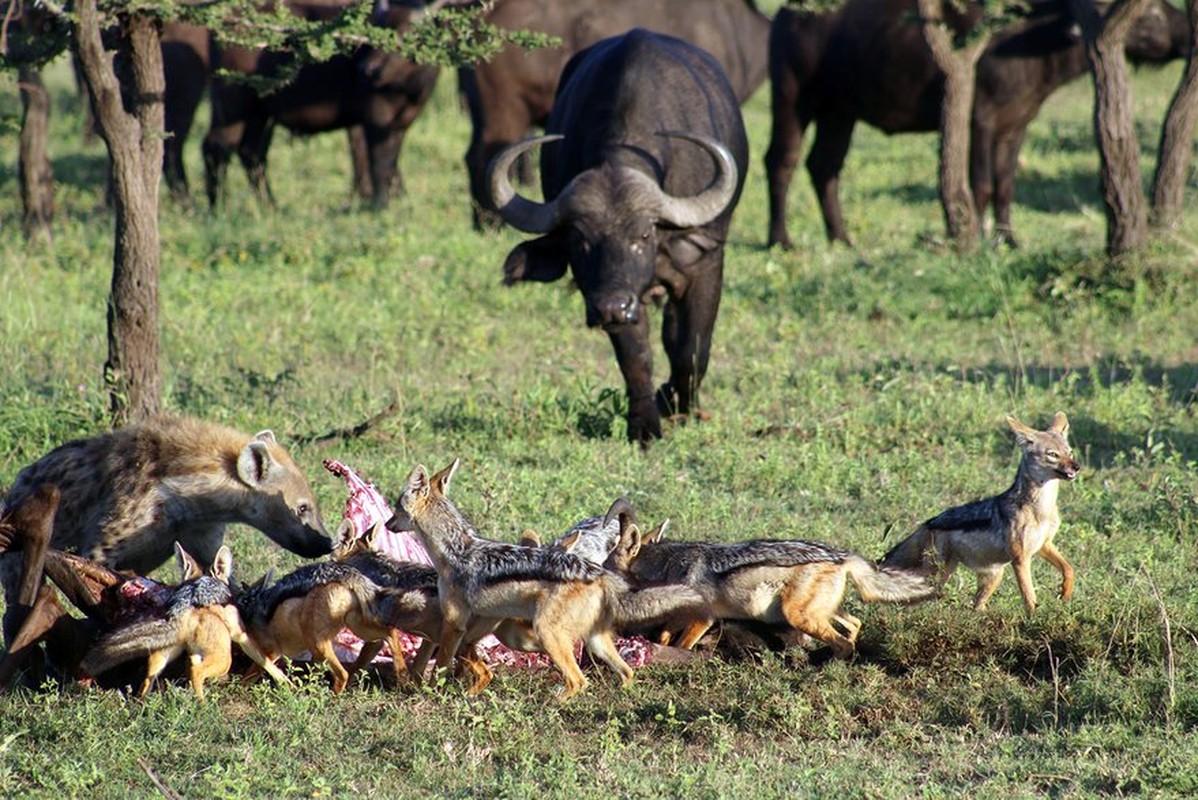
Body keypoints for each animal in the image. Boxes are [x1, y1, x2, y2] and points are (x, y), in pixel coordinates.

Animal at [486, 29, 747, 443]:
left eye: (644, 234)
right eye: (580, 240)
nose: (612, 307)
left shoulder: (703, 265)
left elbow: (692, 348)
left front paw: (677, 405)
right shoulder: (612, 295)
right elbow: (636, 356)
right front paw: (645, 424)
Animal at [766, 0, 1188, 247]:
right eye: (1152, 12)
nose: (1186, 34)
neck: (1031, 34)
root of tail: (787, 14)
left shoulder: (1015, 126)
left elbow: (1006, 185)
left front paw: (1010, 239)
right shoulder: (980, 120)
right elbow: (981, 185)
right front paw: (982, 238)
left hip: (840, 111)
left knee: (824, 166)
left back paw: (841, 238)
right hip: (793, 97)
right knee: (782, 161)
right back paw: (781, 240)